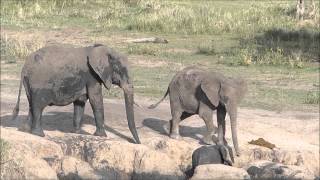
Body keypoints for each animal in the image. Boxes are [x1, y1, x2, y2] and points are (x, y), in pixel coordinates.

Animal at [12, 44, 140, 144]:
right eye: (121, 71)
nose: (137, 142)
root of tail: (24, 67)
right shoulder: (92, 76)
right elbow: (95, 100)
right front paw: (102, 136)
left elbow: (80, 102)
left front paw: (77, 133)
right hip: (39, 82)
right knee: (38, 106)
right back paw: (39, 134)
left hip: (29, 83)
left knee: (31, 104)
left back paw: (25, 130)